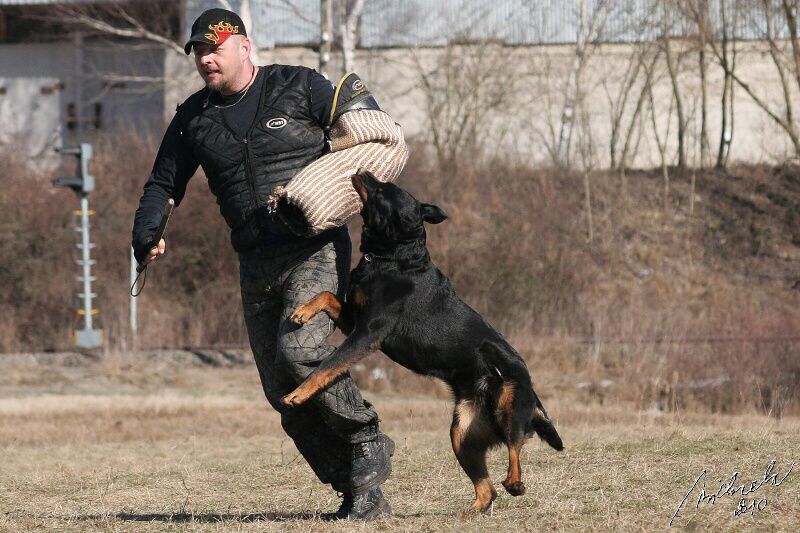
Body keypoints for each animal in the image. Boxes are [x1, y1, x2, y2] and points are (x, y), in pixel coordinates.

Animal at [282, 168, 564, 512]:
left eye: (382, 189)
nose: (363, 170)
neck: (392, 257)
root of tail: (529, 385)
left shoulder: (367, 334)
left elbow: (326, 367)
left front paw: (296, 394)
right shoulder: (354, 321)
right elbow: (325, 295)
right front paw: (301, 312)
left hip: (509, 406)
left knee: (515, 446)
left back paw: (515, 482)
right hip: (462, 432)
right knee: (487, 490)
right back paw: (470, 512)